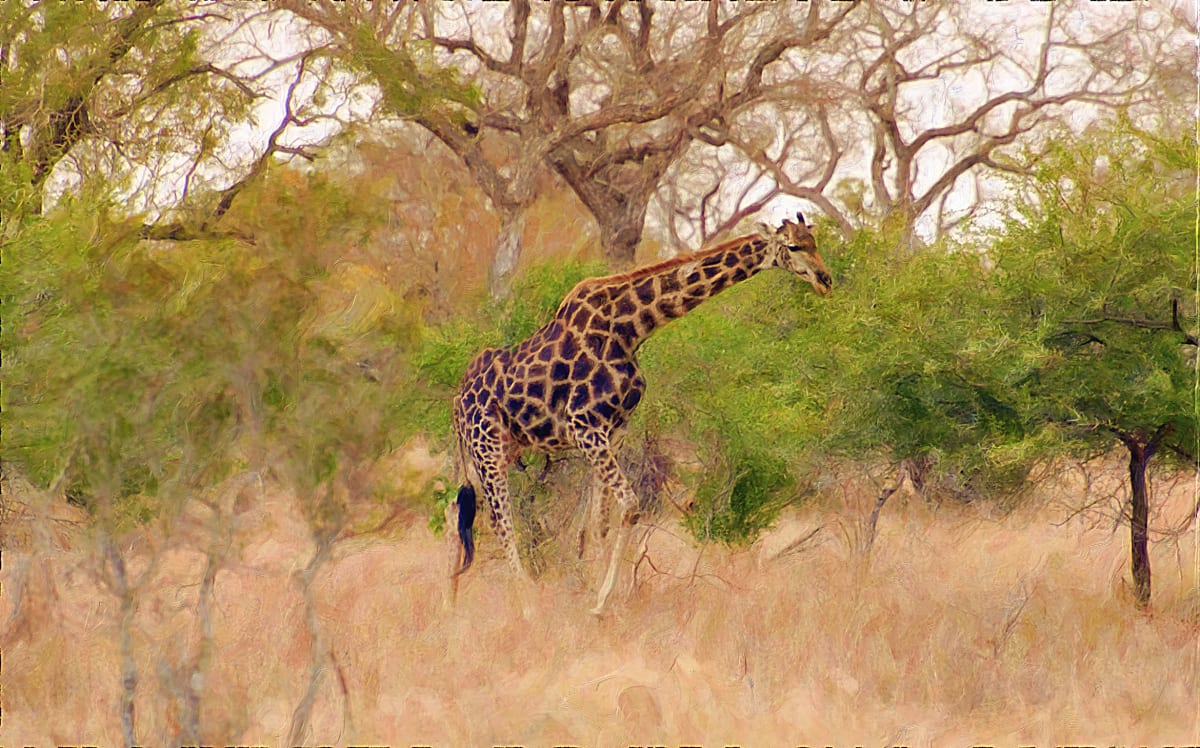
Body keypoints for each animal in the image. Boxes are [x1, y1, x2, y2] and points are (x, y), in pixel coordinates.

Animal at [446, 211, 830, 614]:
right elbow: (629, 506)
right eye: (793, 246)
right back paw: (526, 603)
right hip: (488, 448)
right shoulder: (583, 425)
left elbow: (598, 522)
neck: (630, 329)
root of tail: (458, 400)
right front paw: (601, 602)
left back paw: (450, 605)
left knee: (456, 511)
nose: (825, 280)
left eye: (814, 242)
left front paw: (596, 596)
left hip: (493, 450)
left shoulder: (612, 431)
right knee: (500, 522)